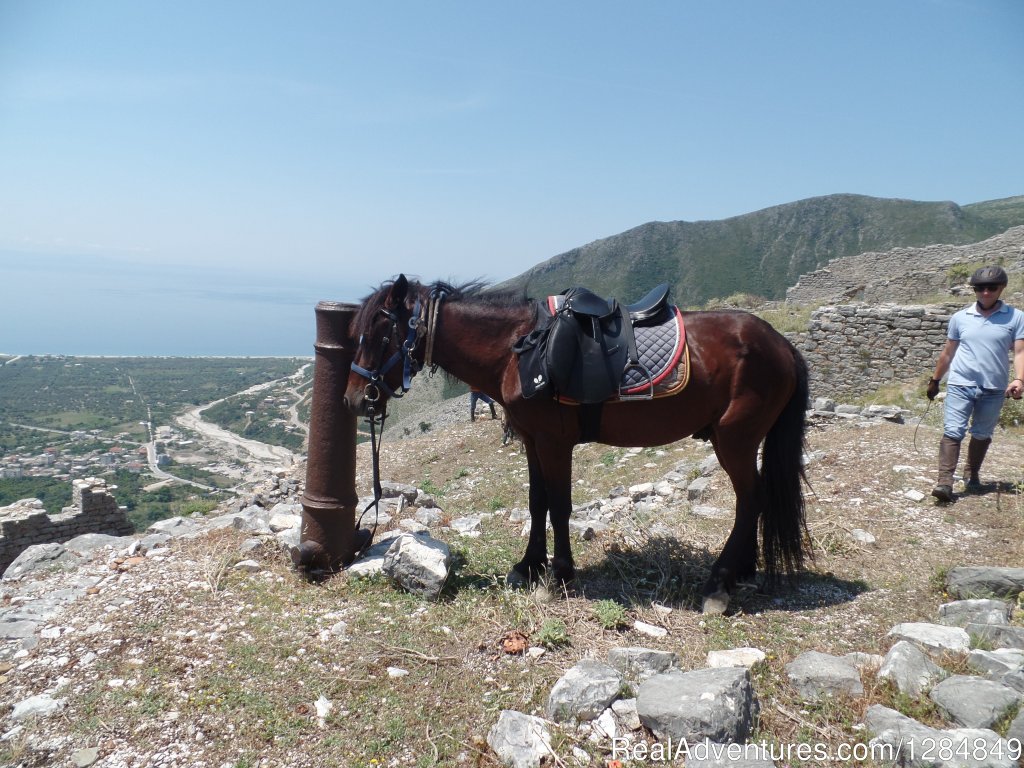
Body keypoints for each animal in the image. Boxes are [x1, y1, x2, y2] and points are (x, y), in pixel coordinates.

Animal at [348, 274, 811, 614]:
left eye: (378, 332)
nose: (355, 399)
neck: (515, 350)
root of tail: (783, 345)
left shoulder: (555, 442)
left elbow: (559, 505)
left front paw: (559, 575)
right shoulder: (532, 440)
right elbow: (537, 502)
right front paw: (528, 567)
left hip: (735, 440)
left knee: (750, 499)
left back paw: (718, 584)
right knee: (753, 500)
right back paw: (742, 571)